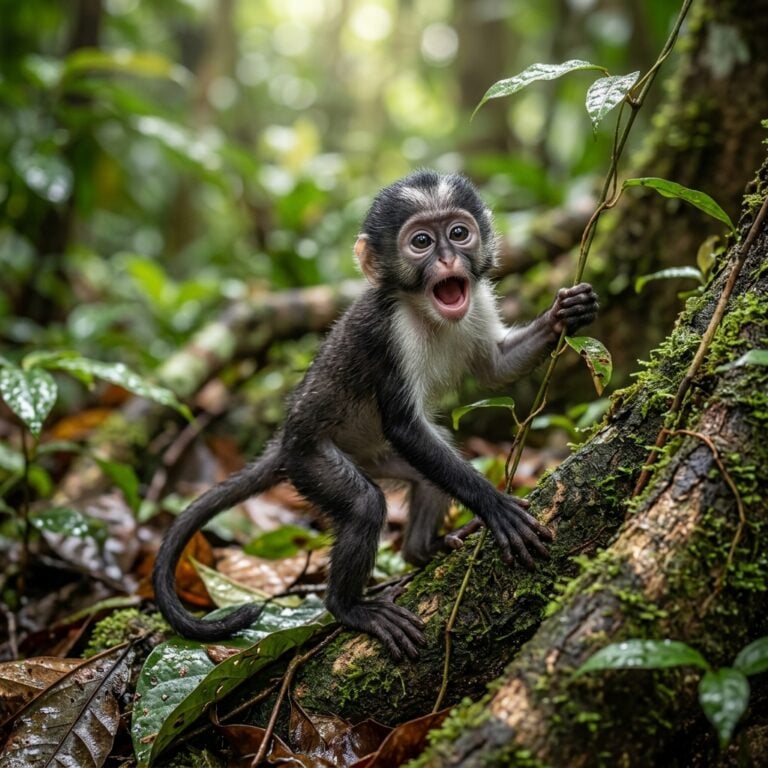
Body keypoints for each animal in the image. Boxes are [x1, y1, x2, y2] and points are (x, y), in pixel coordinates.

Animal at [153, 170, 599, 661]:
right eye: (421, 242)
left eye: (458, 233)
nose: (448, 259)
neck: (425, 310)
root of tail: (285, 440)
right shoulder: (388, 335)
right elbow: (404, 426)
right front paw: (496, 506)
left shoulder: (478, 301)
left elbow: (494, 368)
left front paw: (564, 313)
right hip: (311, 460)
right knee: (365, 504)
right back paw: (349, 607)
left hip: (374, 456)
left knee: (427, 478)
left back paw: (423, 550)